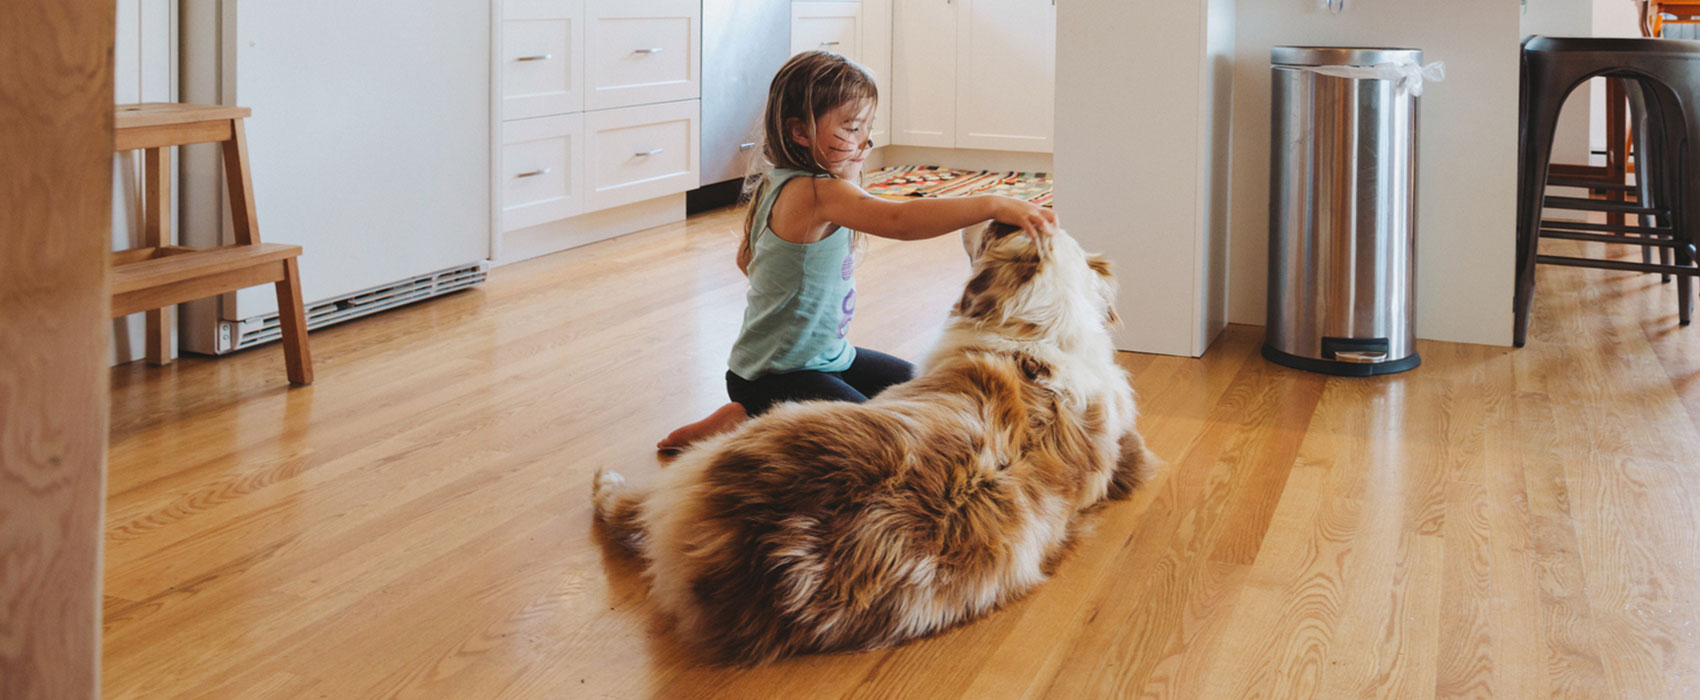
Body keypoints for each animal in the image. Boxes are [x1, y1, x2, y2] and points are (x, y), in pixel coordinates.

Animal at [591, 220, 1162, 666]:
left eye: (996, 229)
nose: (988, 209)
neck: (1043, 330)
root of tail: (776, 551)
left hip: (747, 436)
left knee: (629, 508)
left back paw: (611, 479)